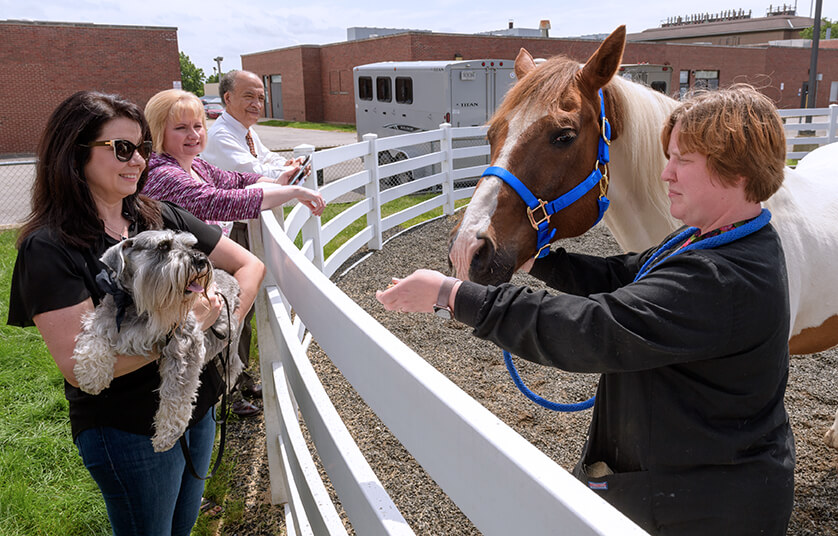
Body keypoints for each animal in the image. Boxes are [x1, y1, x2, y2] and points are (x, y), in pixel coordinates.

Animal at [72, 230, 244, 452]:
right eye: (163, 246)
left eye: (190, 244)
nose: (201, 259)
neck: (137, 304)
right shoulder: (105, 319)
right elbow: (93, 338)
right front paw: (91, 377)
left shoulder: (183, 345)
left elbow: (176, 395)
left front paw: (167, 435)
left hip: (229, 343)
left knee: (232, 367)